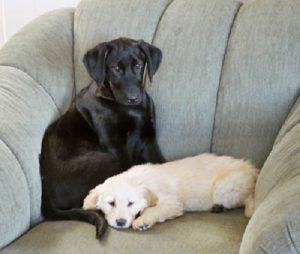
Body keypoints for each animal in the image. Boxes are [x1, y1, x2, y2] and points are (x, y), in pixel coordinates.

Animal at [39, 37, 164, 238]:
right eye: (115, 69)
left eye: (138, 66)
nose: (133, 98)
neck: (127, 108)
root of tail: (46, 195)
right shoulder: (116, 147)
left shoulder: (149, 141)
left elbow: (162, 164)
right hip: (107, 160)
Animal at [83, 154, 258, 231]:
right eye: (111, 203)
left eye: (130, 203)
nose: (121, 222)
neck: (139, 180)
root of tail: (252, 169)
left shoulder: (171, 202)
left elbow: (153, 209)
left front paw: (143, 221)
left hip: (225, 187)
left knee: (248, 196)